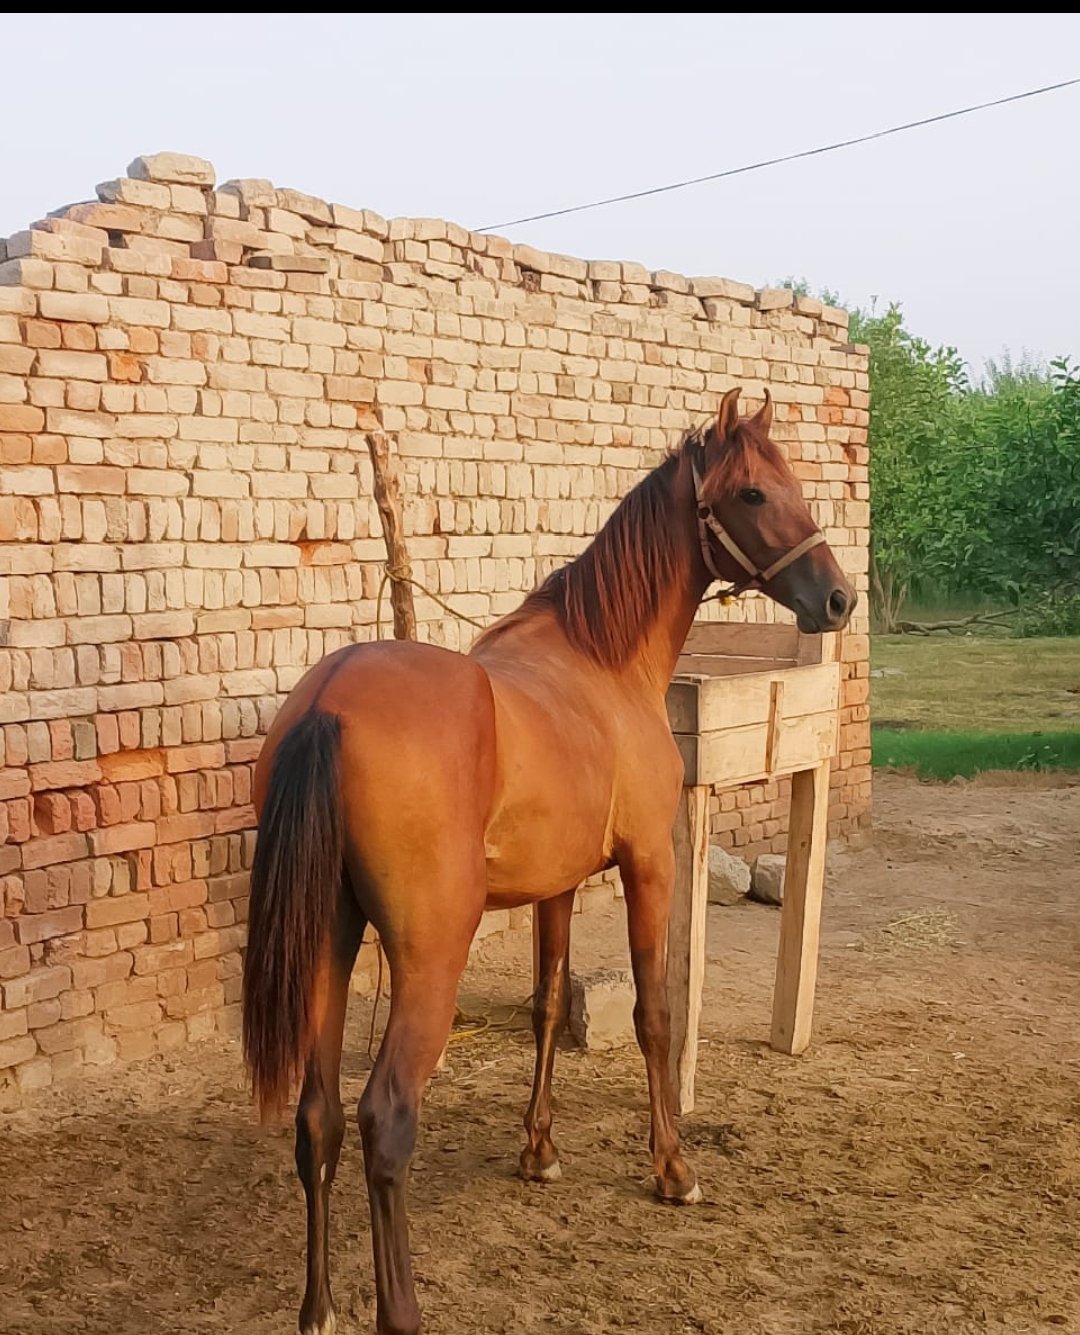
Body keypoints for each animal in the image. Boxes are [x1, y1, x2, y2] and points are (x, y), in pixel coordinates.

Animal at [241, 386, 856, 1335]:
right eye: (753, 492)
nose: (836, 597)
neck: (602, 659)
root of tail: (330, 703)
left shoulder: (556, 886)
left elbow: (545, 1006)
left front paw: (538, 1149)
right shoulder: (649, 864)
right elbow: (653, 1013)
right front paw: (673, 1167)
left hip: (328, 946)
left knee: (319, 1120)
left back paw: (318, 1310)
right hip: (427, 957)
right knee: (385, 1120)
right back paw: (400, 1307)